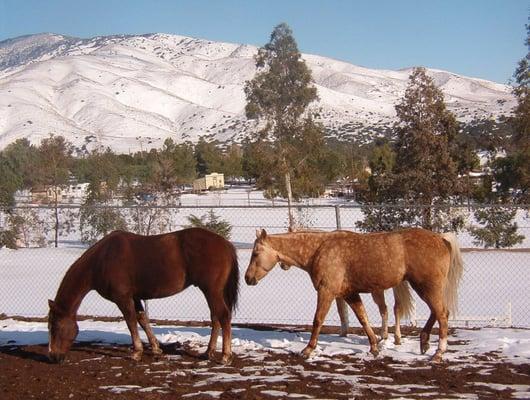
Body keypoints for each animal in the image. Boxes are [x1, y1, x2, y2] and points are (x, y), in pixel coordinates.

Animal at [47, 228, 237, 362]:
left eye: (54, 327)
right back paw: (208, 352)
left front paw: (136, 352)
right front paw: (156, 348)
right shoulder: (135, 297)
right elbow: (142, 319)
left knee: (223, 316)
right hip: (212, 292)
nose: (52, 356)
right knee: (216, 318)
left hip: (211, 291)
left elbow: (131, 322)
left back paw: (225, 355)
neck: (101, 260)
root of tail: (225, 244)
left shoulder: (123, 298)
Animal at [245, 228, 460, 362]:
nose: (247, 278)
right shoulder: (349, 294)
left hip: (427, 286)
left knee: (442, 314)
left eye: (255, 253)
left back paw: (438, 353)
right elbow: (363, 318)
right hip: (424, 287)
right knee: (436, 312)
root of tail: (441, 239)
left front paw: (307, 350)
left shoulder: (327, 291)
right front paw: (374, 347)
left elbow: (318, 320)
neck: (318, 249)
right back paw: (424, 342)